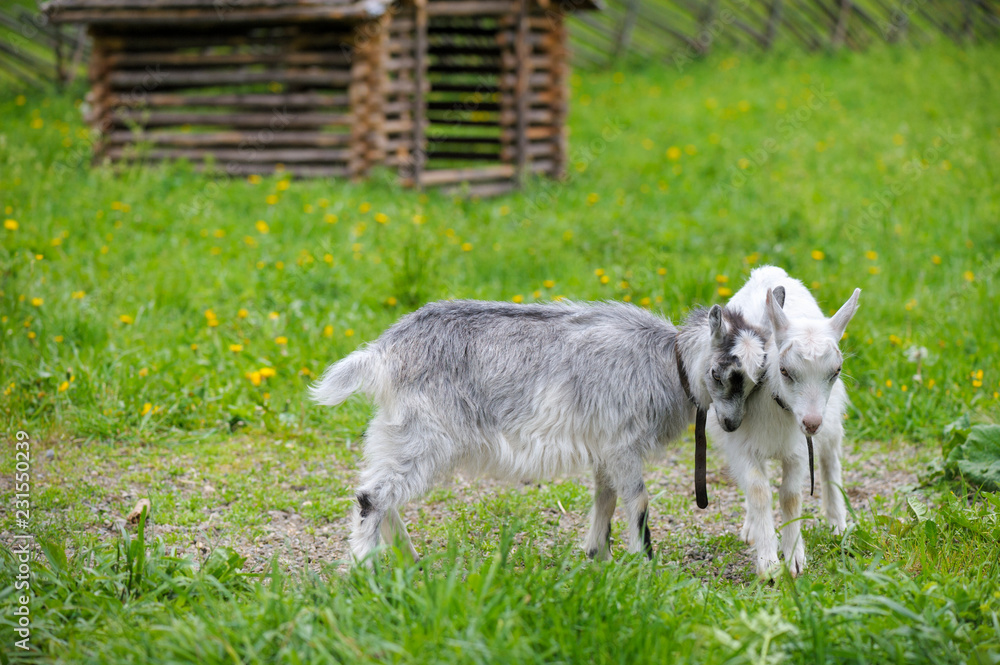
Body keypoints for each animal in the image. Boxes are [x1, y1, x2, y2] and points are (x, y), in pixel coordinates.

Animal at [311, 299, 768, 565]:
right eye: (722, 373)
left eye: (758, 378)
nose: (731, 423)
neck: (665, 362)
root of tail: (385, 351)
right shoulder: (621, 443)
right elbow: (637, 501)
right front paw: (645, 565)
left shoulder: (605, 447)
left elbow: (604, 497)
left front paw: (597, 555)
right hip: (423, 435)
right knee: (372, 496)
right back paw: (365, 568)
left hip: (396, 432)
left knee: (382, 493)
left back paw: (409, 559)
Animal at [706, 266, 860, 579]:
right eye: (785, 370)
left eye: (836, 370)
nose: (812, 423)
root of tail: (767, 270)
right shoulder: (742, 446)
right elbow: (758, 492)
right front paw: (768, 563)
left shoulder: (799, 449)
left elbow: (790, 497)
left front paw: (794, 559)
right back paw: (751, 528)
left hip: (831, 424)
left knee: (830, 462)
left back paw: (838, 524)